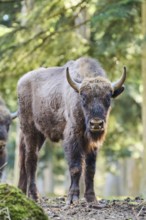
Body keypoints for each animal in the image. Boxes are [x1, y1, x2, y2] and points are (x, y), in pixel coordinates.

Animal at [17, 56, 126, 203]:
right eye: (83, 97)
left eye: (108, 98)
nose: (96, 124)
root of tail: (22, 81)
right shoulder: (73, 137)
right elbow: (76, 167)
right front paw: (73, 197)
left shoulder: (92, 144)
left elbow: (90, 168)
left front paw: (91, 198)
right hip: (30, 130)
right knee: (31, 159)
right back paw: (34, 196)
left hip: (40, 135)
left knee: (24, 159)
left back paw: (22, 192)